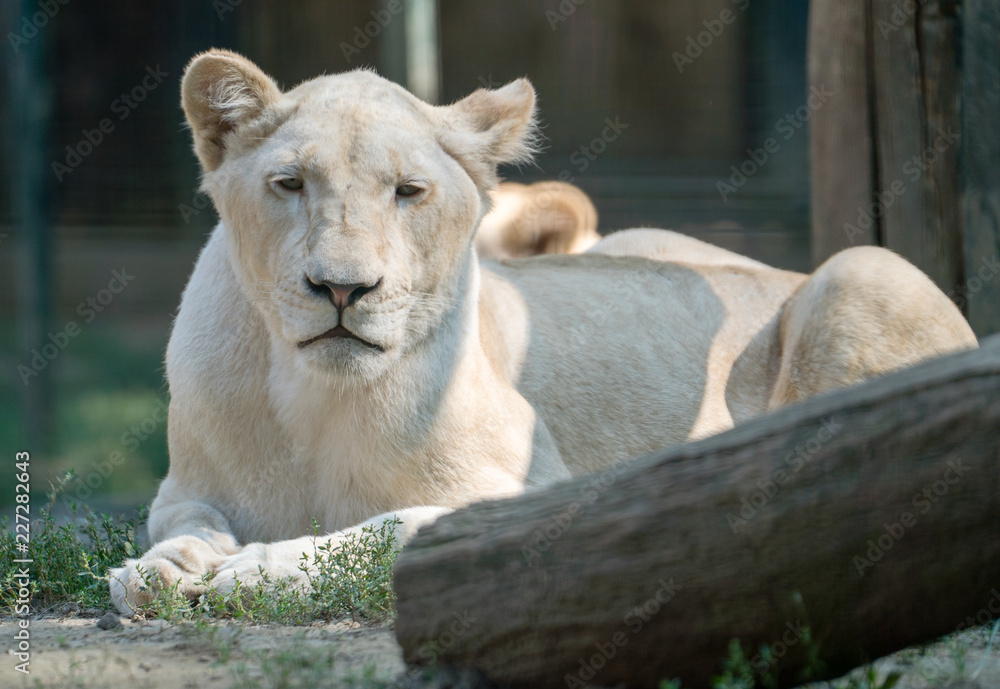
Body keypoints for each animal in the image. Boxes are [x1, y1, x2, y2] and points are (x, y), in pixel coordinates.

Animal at [110, 50, 977, 613]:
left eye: (408, 191)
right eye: (289, 184)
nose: (342, 288)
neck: (312, 393)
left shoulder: (529, 495)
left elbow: (375, 529)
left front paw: (251, 570)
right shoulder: (184, 487)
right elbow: (182, 524)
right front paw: (158, 570)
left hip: (860, 268)